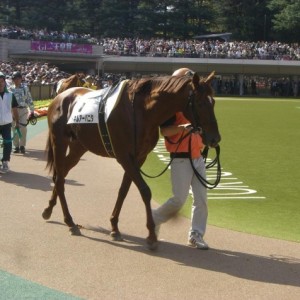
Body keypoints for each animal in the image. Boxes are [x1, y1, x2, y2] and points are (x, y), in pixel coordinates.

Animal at [42, 71, 220, 250]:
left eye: (213, 102)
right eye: (199, 102)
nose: (215, 139)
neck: (141, 112)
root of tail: (60, 96)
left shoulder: (138, 157)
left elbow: (123, 190)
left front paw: (114, 227)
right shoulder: (124, 156)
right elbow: (145, 190)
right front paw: (151, 234)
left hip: (79, 146)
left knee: (60, 174)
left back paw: (49, 209)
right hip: (59, 142)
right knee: (59, 179)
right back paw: (70, 222)